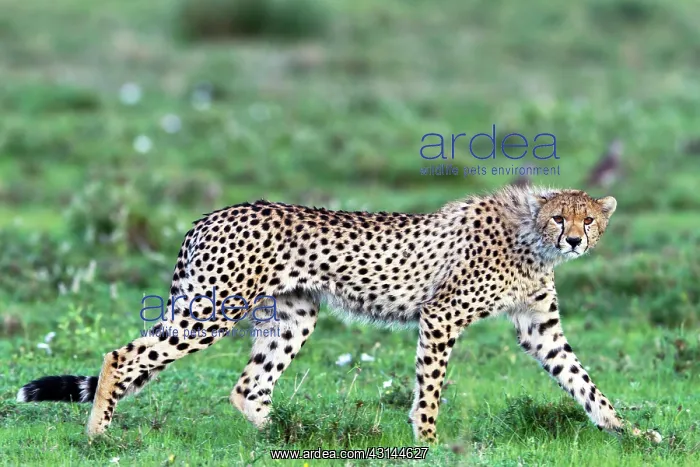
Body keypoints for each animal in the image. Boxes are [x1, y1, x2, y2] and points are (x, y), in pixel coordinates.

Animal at [17, 184, 657, 443]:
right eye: (559, 218)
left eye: (589, 220)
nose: (575, 240)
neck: (530, 237)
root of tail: (212, 213)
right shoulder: (442, 316)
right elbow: (430, 388)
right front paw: (427, 441)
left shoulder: (539, 328)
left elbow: (584, 383)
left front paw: (630, 432)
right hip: (211, 310)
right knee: (122, 354)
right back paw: (99, 434)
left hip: (293, 316)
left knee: (248, 387)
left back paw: (287, 436)